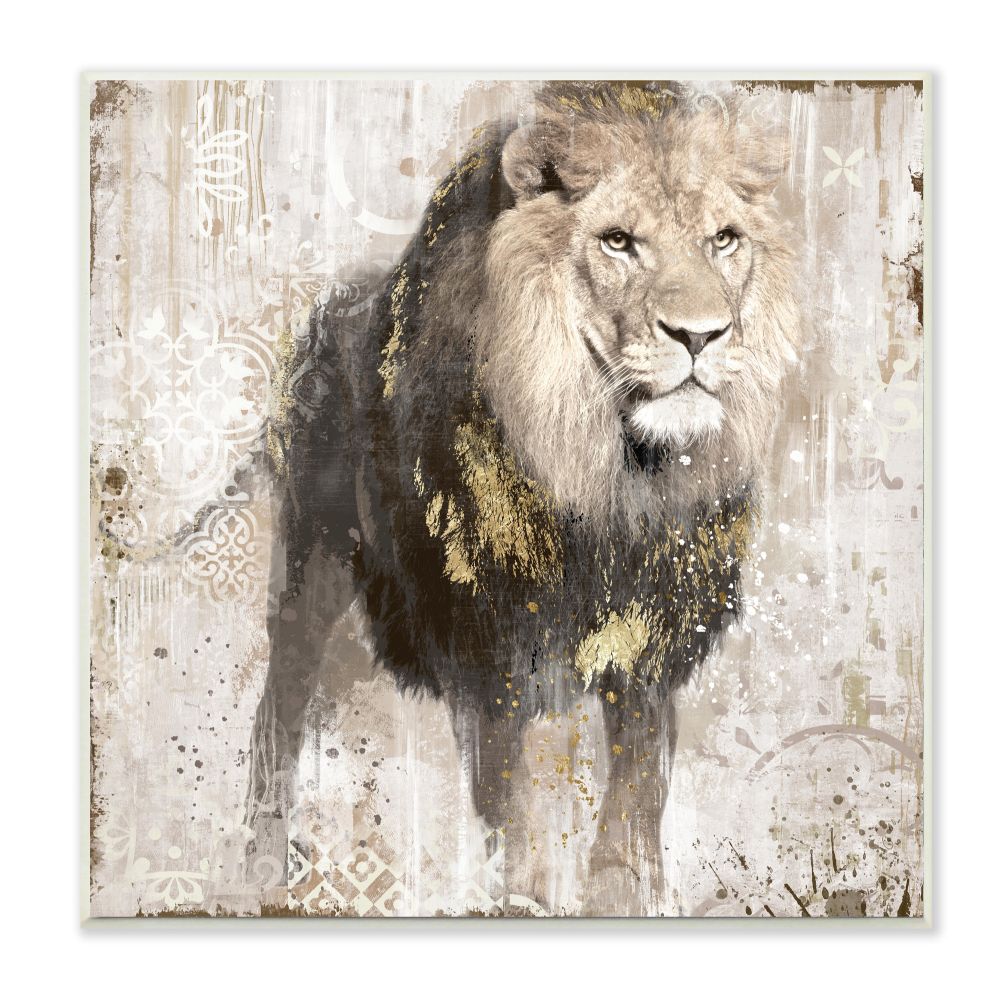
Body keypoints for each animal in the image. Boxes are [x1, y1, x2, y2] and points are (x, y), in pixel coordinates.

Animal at [246, 80, 801, 916]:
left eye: (724, 240)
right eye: (617, 242)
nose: (702, 335)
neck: (613, 479)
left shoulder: (650, 639)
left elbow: (638, 790)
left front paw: (626, 889)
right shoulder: (490, 644)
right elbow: (511, 806)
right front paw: (522, 894)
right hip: (314, 567)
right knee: (276, 714)